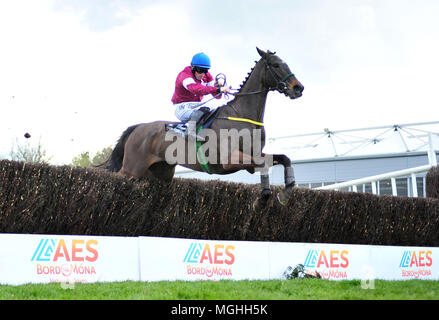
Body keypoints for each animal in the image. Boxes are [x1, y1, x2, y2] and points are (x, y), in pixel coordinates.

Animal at [104, 46, 302, 209]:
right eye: (276, 65)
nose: (298, 88)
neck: (243, 116)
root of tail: (138, 128)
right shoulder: (228, 160)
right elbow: (262, 163)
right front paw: (261, 200)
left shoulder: (251, 157)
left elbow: (284, 159)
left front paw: (285, 193)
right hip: (132, 169)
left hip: (159, 173)